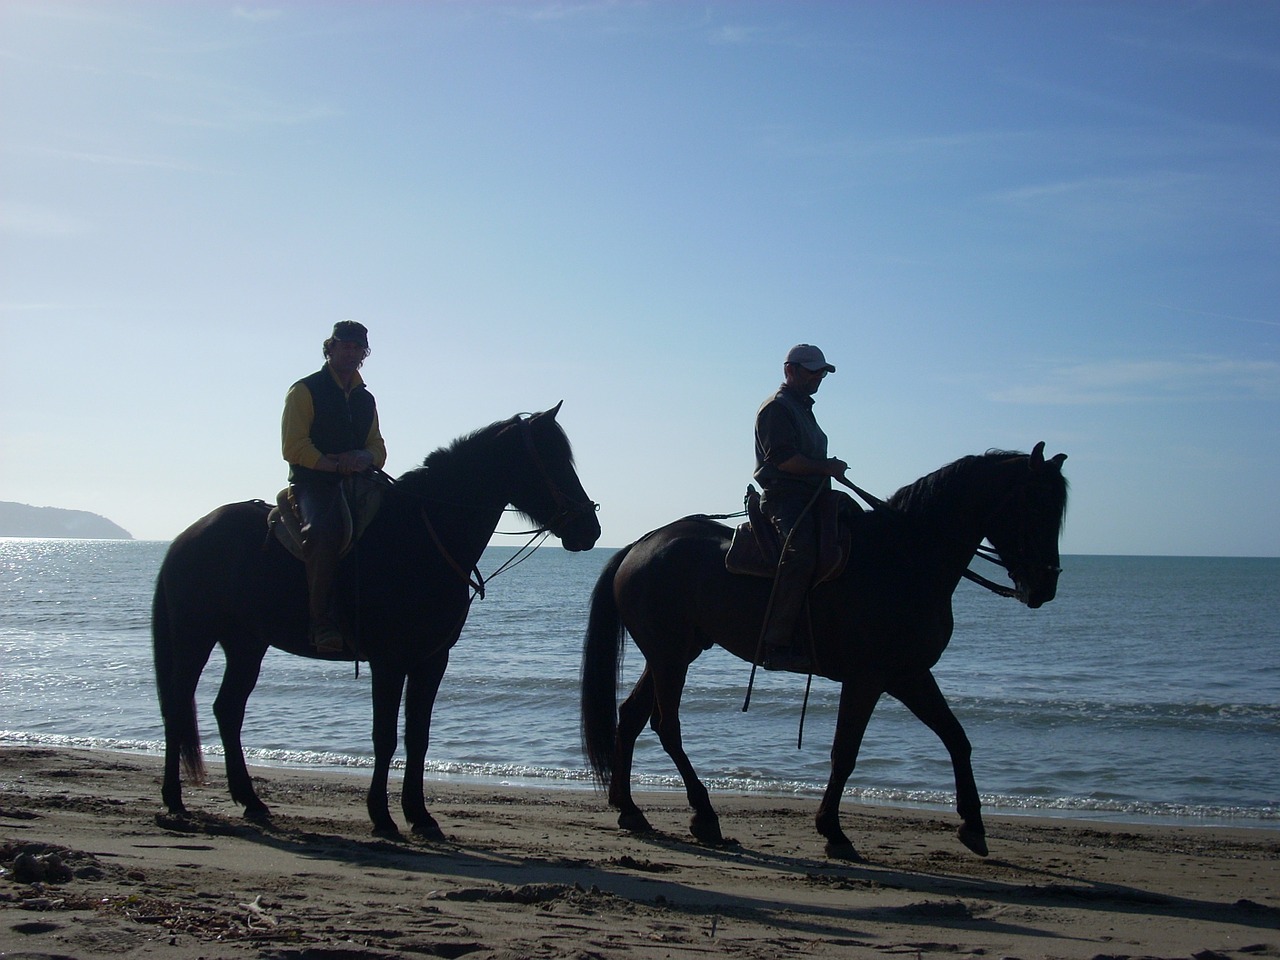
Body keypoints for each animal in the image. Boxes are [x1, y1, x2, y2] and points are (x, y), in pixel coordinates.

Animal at [152, 401, 601, 839]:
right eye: (551, 459)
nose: (590, 528)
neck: (422, 536)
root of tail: (186, 537)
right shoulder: (388, 661)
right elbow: (384, 737)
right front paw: (382, 817)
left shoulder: (431, 660)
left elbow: (417, 737)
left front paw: (420, 815)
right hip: (194, 638)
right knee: (178, 705)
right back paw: (174, 800)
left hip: (246, 644)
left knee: (228, 709)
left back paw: (251, 801)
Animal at [586, 448, 1064, 860]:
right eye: (1035, 505)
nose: (1044, 586)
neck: (904, 559)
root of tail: (640, 544)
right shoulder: (868, 678)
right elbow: (845, 753)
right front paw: (833, 831)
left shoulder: (909, 674)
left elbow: (956, 738)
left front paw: (973, 826)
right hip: (669, 658)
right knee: (667, 727)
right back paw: (704, 816)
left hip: (673, 654)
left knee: (631, 717)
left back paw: (630, 809)